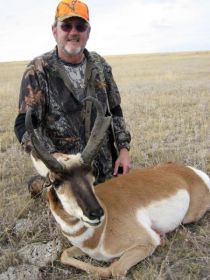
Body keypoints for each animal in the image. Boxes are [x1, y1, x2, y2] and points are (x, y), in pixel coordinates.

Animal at [25, 97, 210, 278]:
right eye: (55, 182)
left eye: (92, 174)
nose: (96, 213)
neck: (99, 232)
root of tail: (190, 172)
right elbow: (64, 255)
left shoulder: (145, 243)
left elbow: (112, 269)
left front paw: (162, 239)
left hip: (189, 217)